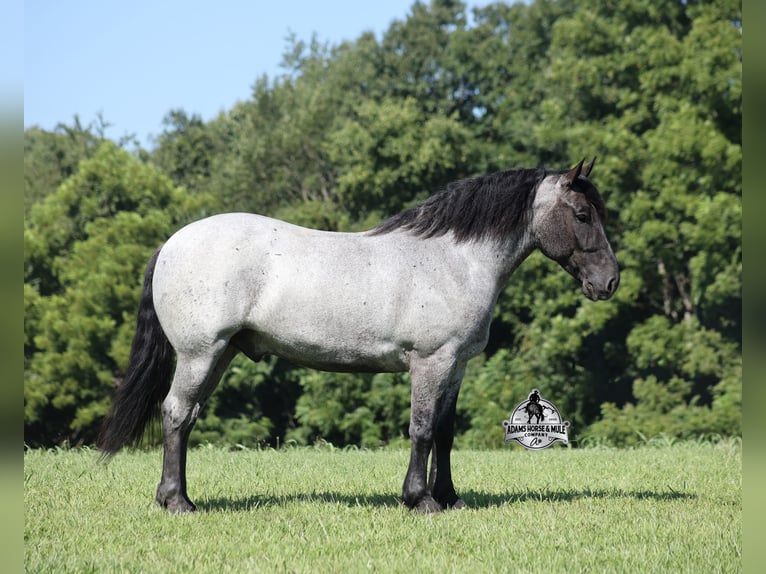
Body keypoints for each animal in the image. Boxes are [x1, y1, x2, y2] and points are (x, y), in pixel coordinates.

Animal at [97, 158, 619, 513]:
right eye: (581, 214)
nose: (610, 282)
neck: (454, 260)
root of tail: (172, 243)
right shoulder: (430, 361)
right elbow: (422, 429)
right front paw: (420, 500)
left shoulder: (455, 366)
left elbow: (445, 431)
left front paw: (449, 497)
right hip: (200, 354)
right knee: (176, 414)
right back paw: (178, 502)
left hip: (219, 355)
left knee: (186, 417)